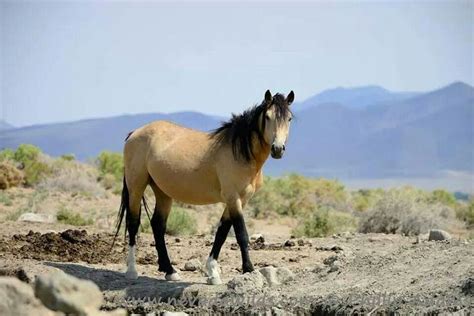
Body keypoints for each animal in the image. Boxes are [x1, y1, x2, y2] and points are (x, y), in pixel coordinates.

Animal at [114, 90, 292, 286]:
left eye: (289, 118)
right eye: (267, 117)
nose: (278, 149)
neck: (239, 152)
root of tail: (134, 133)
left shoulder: (240, 200)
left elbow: (222, 232)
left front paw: (213, 273)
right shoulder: (233, 198)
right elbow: (241, 234)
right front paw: (249, 270)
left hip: (162, 191)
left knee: (158, 225)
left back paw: (169, 271)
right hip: (136, 187)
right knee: (133, 222)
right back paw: (132, 271)